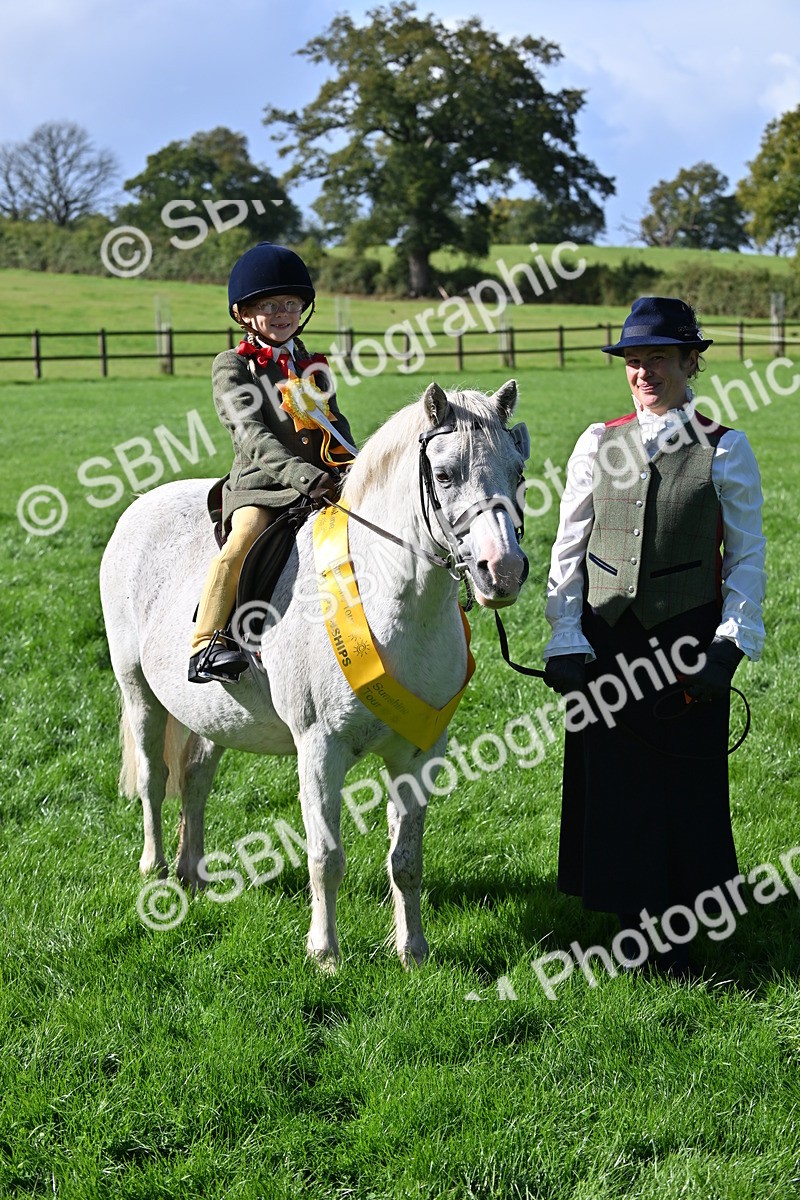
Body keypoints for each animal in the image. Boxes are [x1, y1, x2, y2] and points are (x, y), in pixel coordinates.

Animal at [100, 379, 530, 968]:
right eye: (445, 475)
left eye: (518, 472)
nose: (502, 571)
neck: (387, 600)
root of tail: (141, 504)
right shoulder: (320, 749)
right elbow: (326, 855)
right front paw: (325, 954)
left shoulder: (419, 752)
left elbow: (407, 860)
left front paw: (413, 952)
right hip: (137, 690)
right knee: (153, 777)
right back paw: (157, 871)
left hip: (214, 712)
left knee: (195, 779)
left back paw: (193, 874)